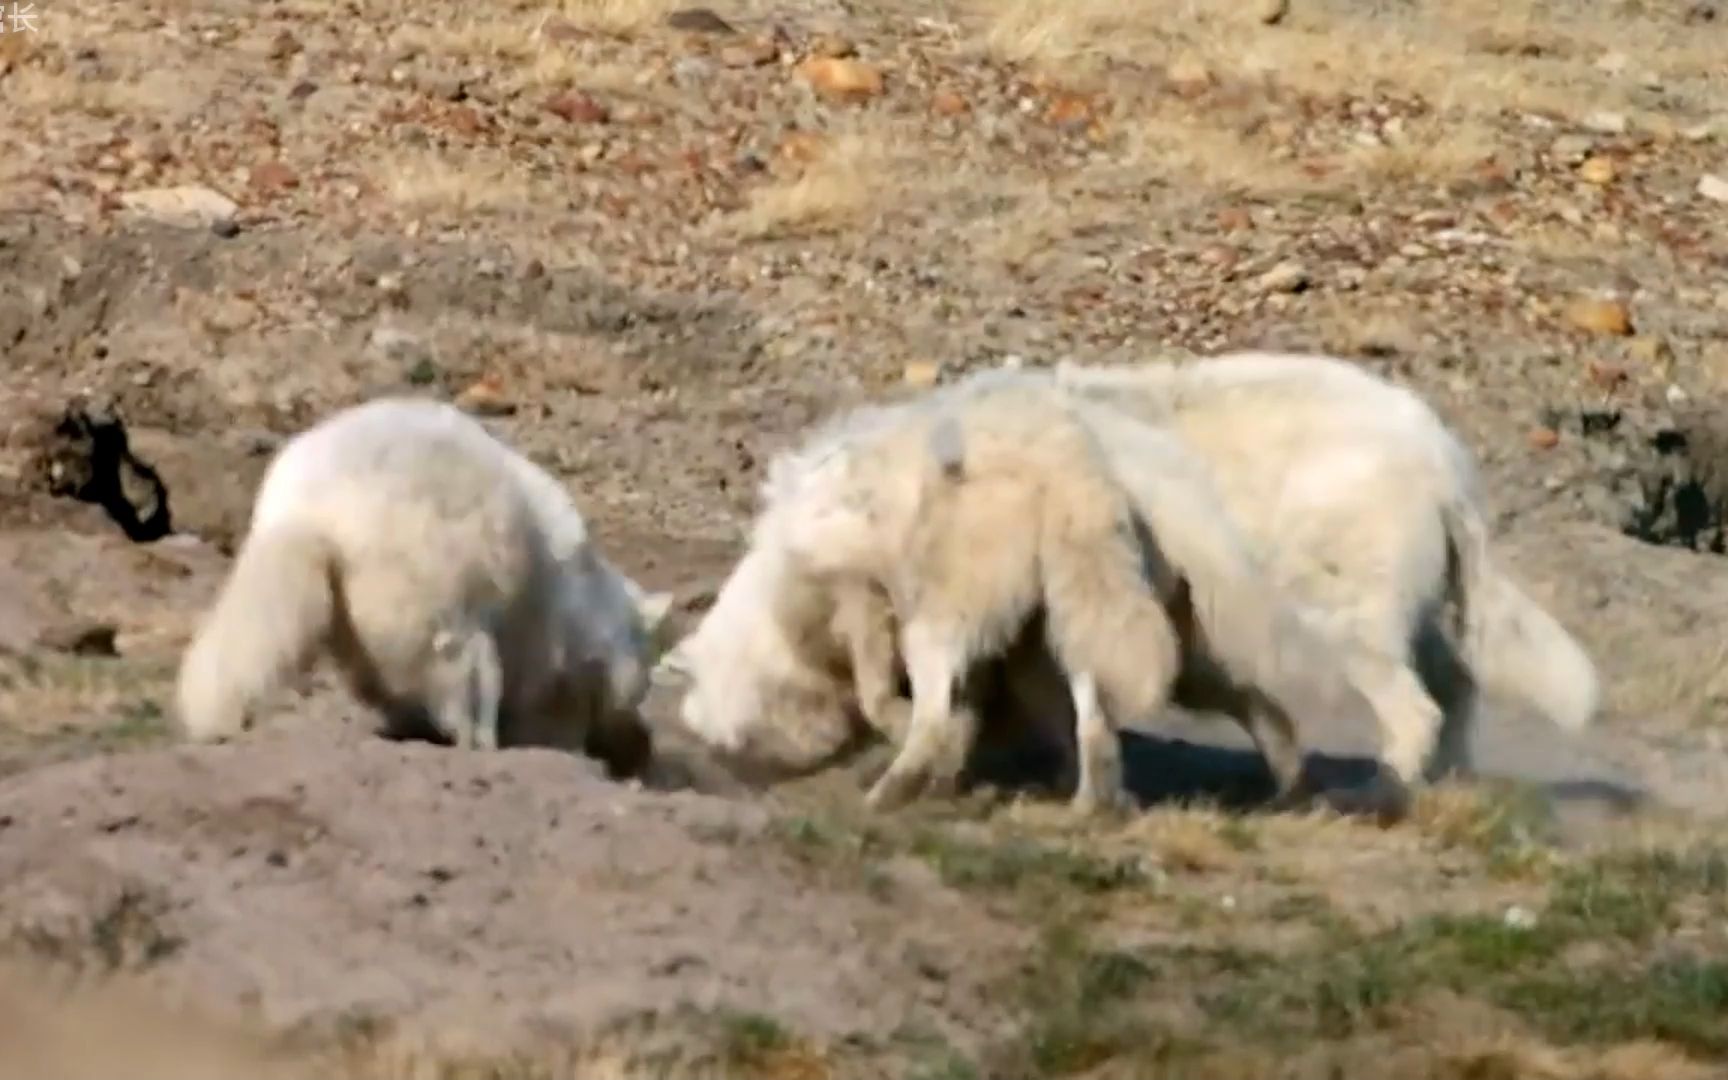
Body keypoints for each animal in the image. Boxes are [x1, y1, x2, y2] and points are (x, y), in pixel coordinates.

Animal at [173, 395, 673, 756]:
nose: (637, 735)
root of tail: (309, 511)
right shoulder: (551, 623)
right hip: (429, 560)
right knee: (460, 660)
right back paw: (477, 738)